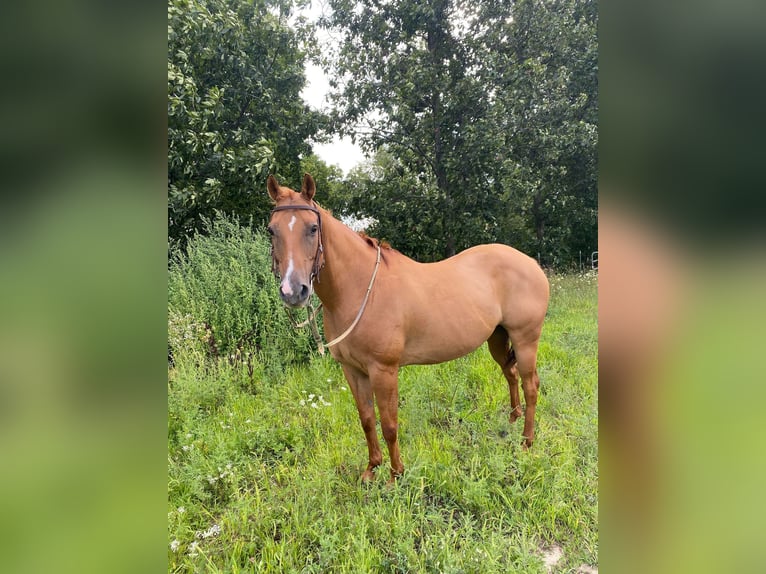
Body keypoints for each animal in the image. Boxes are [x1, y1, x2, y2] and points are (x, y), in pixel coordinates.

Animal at [268, 174, 548, 486]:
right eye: (271, 231)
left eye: (313, 228)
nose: (293, 291)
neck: (361, 288)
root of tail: (531, 263)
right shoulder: (352, 370)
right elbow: (367, 420)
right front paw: (371, 469)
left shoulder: (384, 370)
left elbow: (389, 424)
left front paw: (395, 476)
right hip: (497, 338)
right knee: (511, 375)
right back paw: (512, 422)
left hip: (525, 340)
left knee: (530, 385)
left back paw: (526, 441)